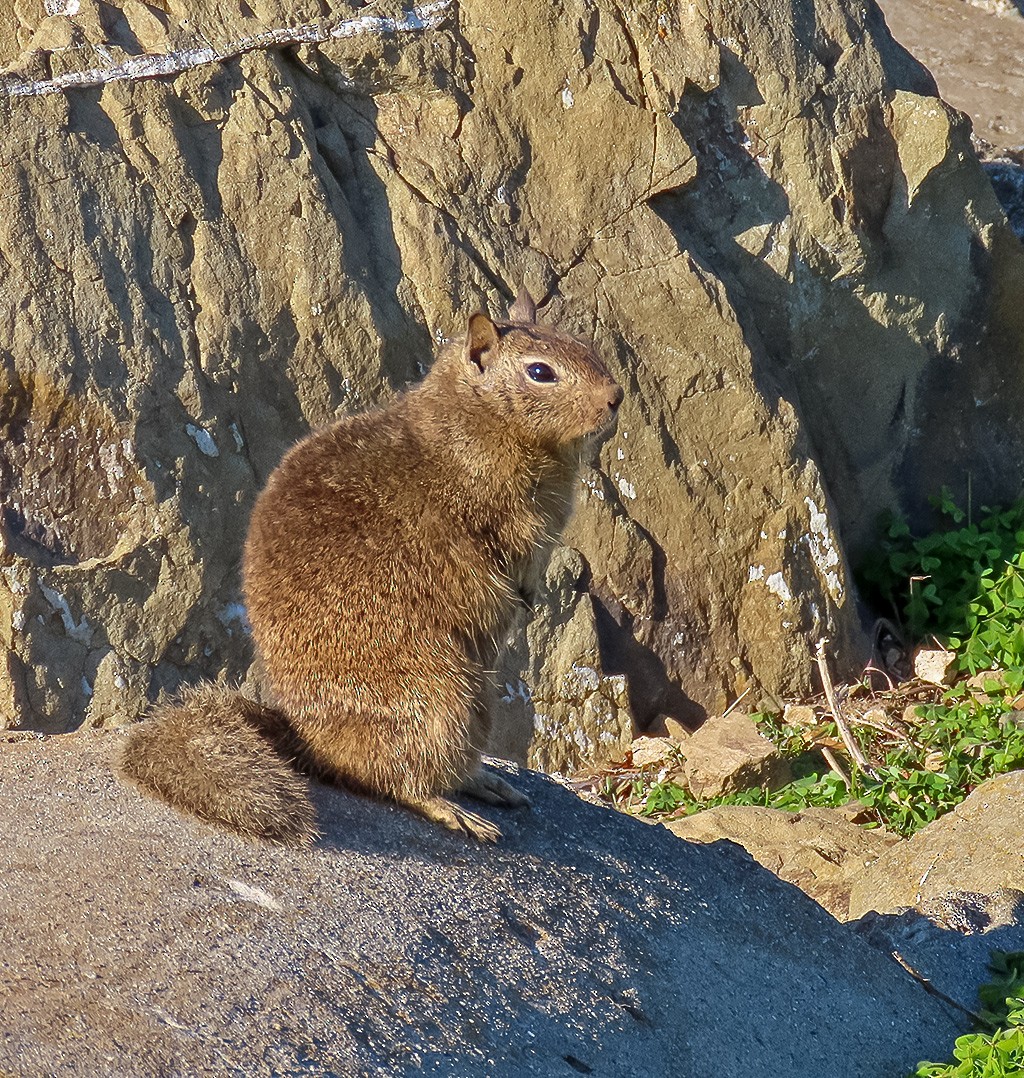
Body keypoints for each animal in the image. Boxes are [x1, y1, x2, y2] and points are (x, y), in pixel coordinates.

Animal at [119, 289, 623, 843]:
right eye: (540, 372)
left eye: (584, 346)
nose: (616, 395)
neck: (475, 418)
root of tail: (303, 739)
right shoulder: (504, 516)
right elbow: (505, 553)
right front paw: (519, 593)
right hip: (442, 700)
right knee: (394, 778)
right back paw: (455, 811)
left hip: (477, 702)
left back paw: (489, 783)